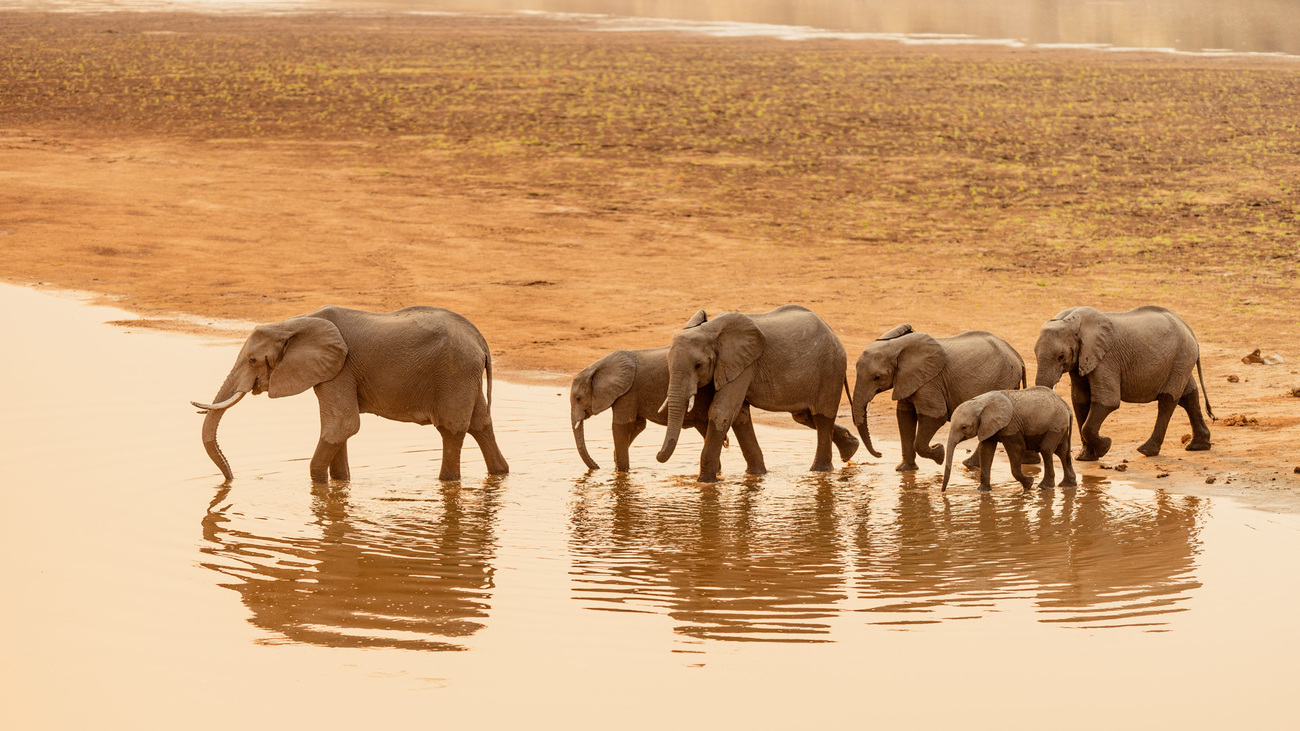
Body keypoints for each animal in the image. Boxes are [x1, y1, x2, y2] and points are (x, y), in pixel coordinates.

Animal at [192, 303, 506, 481]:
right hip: (465, 375)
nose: (230, 480)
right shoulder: (333, 371)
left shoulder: (341, 369)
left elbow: (341, 425)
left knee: (452, 430)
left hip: (454, 373)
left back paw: (448, 482)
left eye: (252, 360)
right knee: (481, 424)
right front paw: (340, 485)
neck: (294, 323)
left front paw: (319, 484)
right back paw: (500, 474)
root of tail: (480, 340)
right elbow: (338, 431)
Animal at [655, 304, 857, 481]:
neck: (709, 330)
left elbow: (722, 412)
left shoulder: (744, 365)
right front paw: (756, 475)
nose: (657, 455)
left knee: (822, 416)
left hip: (831, 369)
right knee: (803, 416)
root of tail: (833, 333)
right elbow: (739, 416)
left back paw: (820, 471)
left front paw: (705, 482)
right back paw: (851, 450)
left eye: (698, 365)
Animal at [847, 323, 1029, 473]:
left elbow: (935, 415)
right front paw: (904, 470)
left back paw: (968, 465)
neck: (897, 345)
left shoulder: (930, 382)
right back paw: (970, 465)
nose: (879, 454)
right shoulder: (907, 380)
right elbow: (904, 416)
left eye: (877, 377)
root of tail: (1019, 358)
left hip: (1003, 380)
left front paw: (939, 453)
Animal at [941, 385, 1081, 491]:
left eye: (964, 427)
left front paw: (1029, 484)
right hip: (1060, 426)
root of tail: (1067, 407)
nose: (943, 492)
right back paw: (1067, 485)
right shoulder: (987, 426)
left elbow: (1017, 448)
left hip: (1055, 425)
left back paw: (1044, 487)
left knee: (1047, 450)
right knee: (1063, 452)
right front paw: (982, 491)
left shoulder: (1011, 425)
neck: (981, 402)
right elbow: (986, 451)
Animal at [1029, 304, 1211, 457]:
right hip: (1181, 360)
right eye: (1035, 353)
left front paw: (1105, 447)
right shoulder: (1081, 361)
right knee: (1188, 395)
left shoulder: (1106, 360)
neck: (1072, 321)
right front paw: (1085, 457)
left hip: (1181, 356)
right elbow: (1080, 401)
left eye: (1061, 357)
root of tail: (1188, 327)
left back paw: (1146, 450)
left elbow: (1108, 401)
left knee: (1168, 400)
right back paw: (1198, 446)